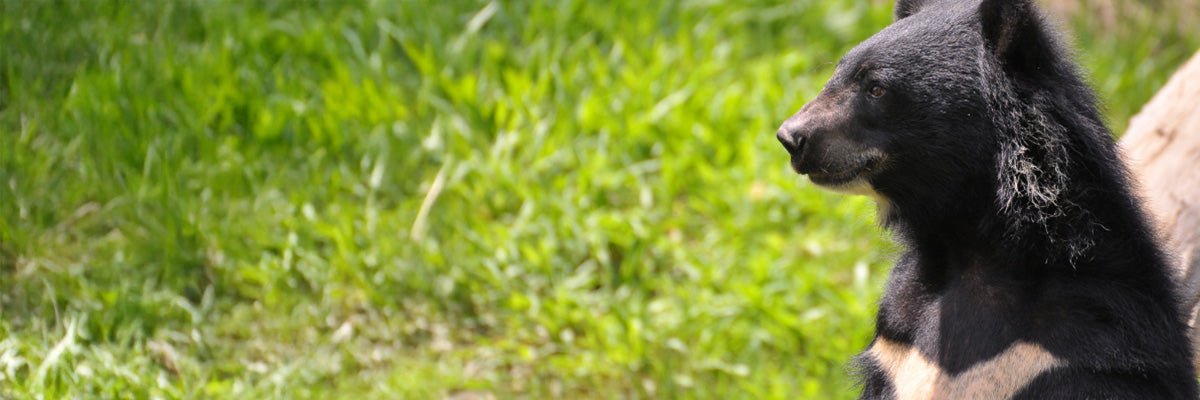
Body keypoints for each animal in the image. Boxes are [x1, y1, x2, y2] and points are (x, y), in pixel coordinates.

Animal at [775, 0, 1199, 398]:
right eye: (837, 73)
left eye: (876, 88)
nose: (791, 137)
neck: (969, 248)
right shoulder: (894, 343)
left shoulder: (1084, 351)